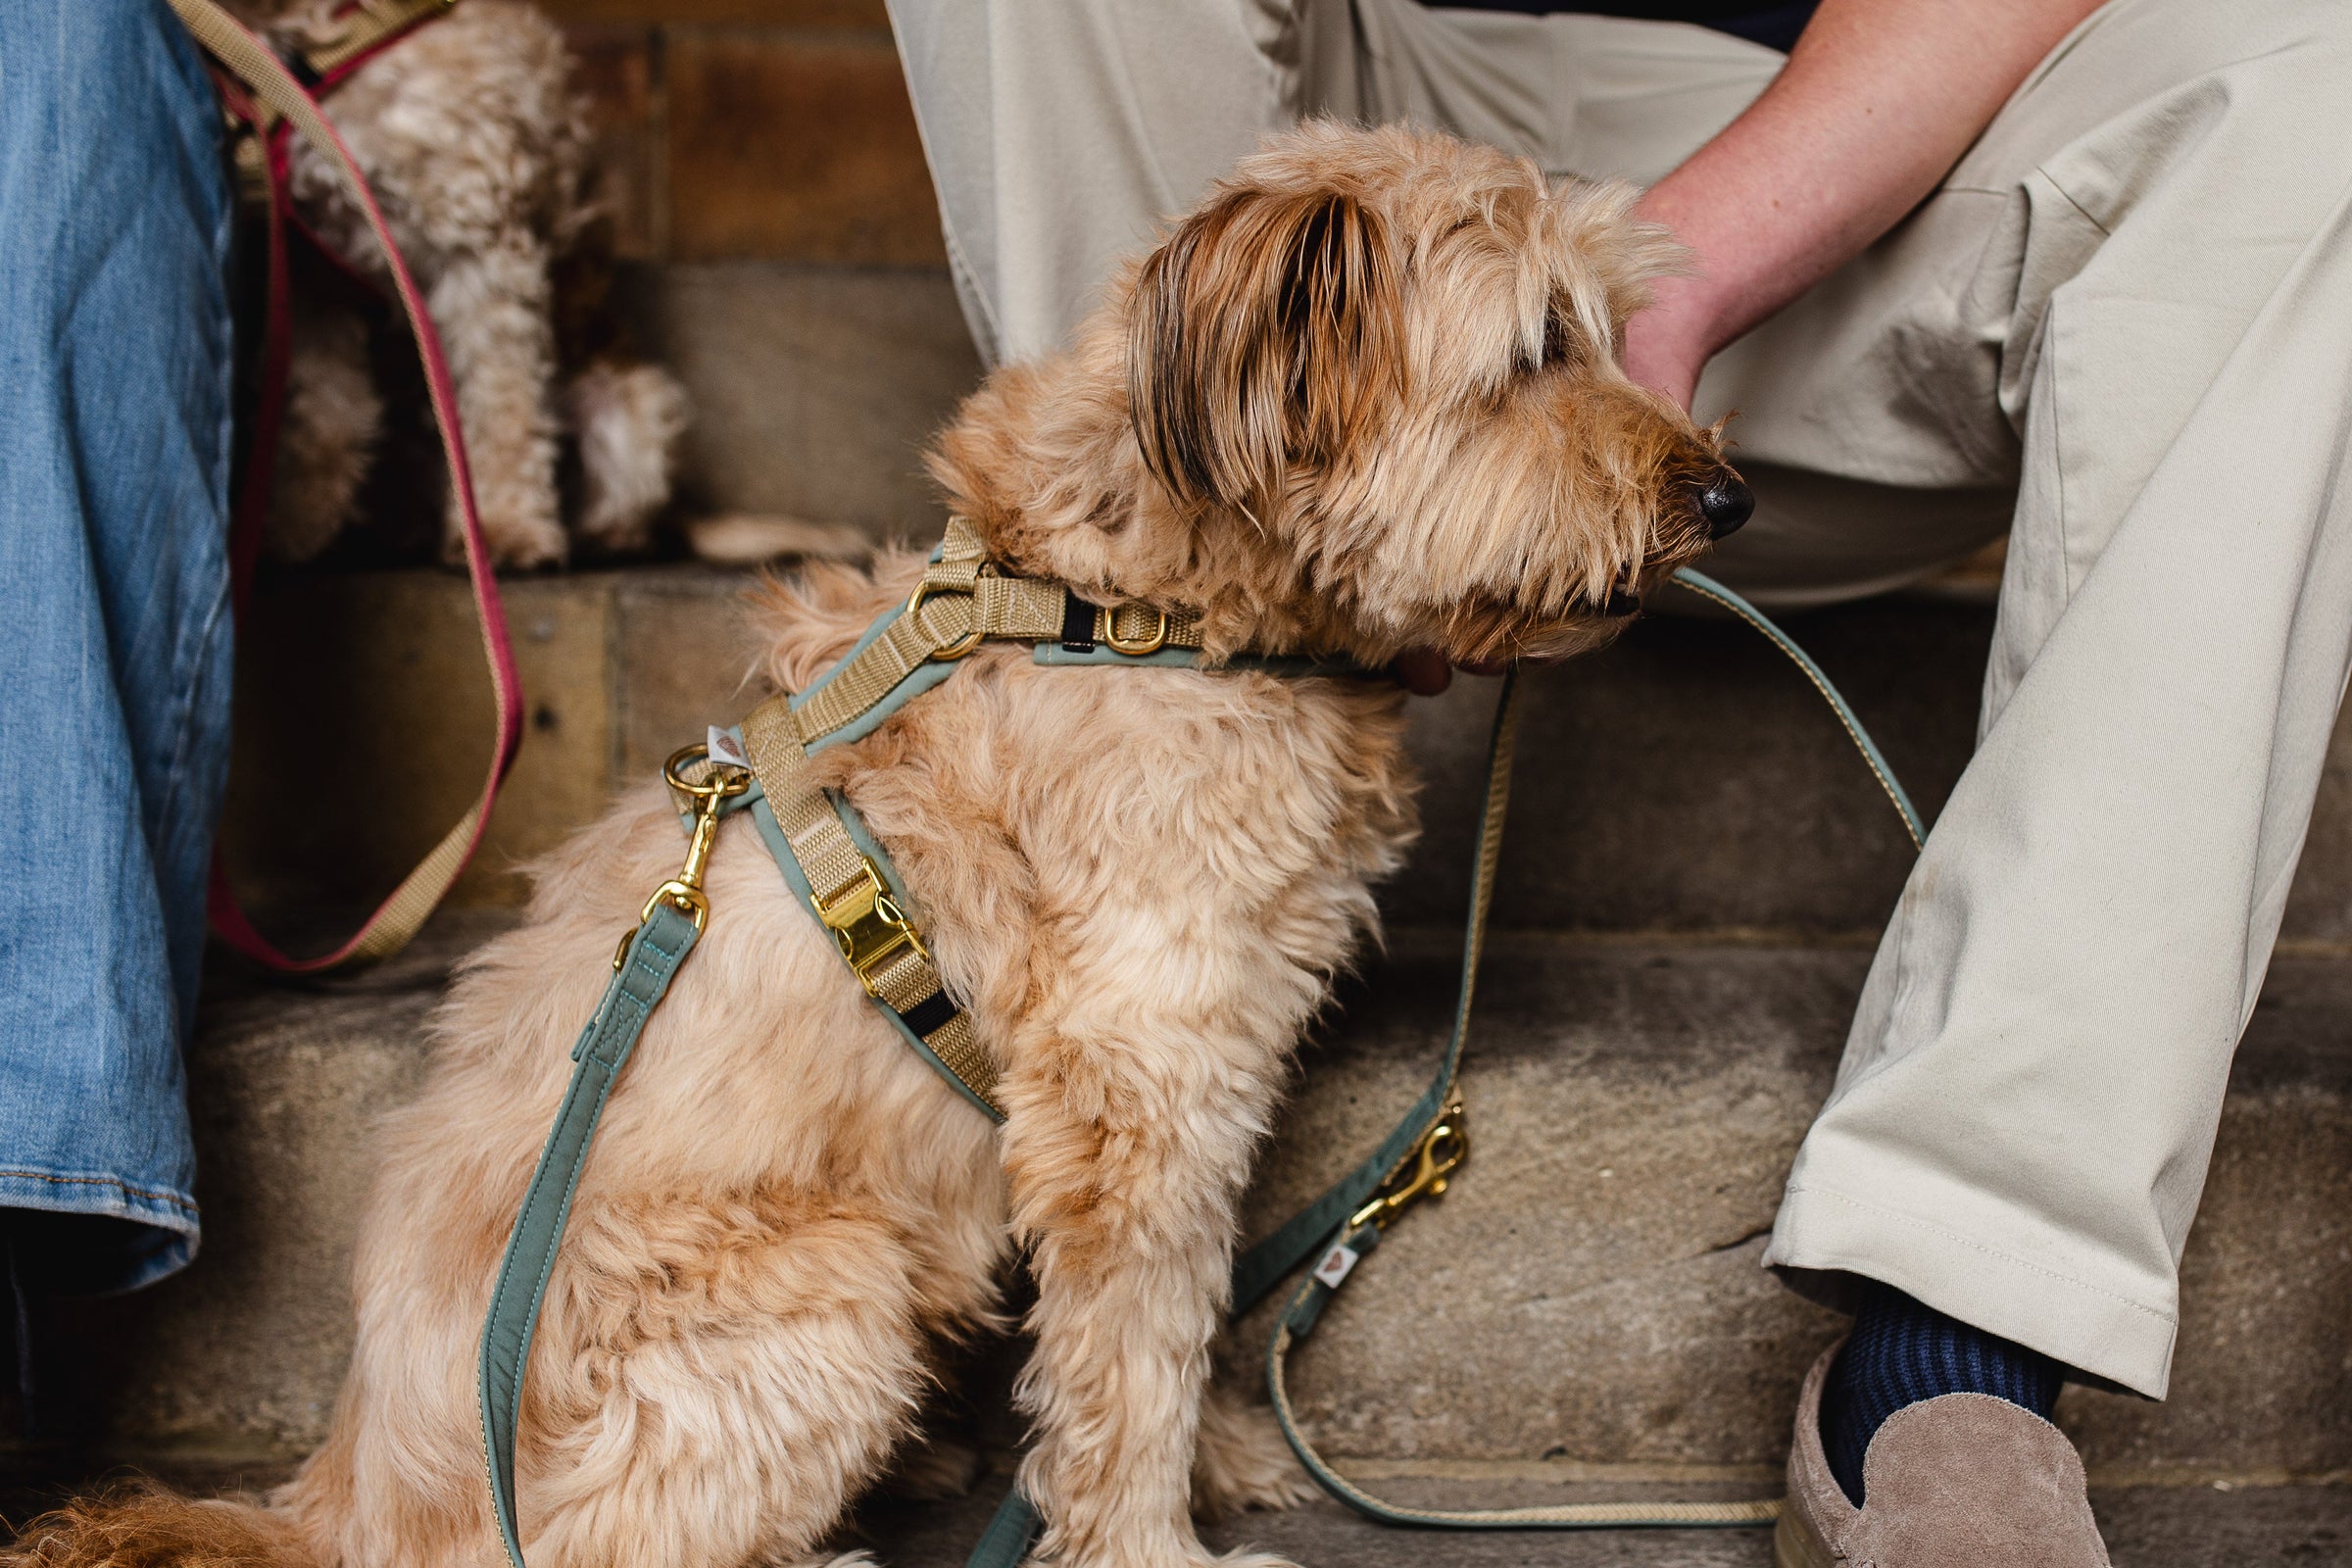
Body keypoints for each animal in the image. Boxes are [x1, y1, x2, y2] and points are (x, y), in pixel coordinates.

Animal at [10, 122, 1746, 1568]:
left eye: (1610, 331)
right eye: (1535, 351)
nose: (1726, 496)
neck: (1132, 612)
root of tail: (341, 1503)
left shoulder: (1198, 1071)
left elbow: (1175, 1324)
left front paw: (1217, 1458)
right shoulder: (1140, 1084)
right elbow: (1137, 1345)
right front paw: (1149, 1540)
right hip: (830, 1290)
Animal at [234, 0, 689, 568]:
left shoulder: (480, 245)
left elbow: (501, 403)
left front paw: (502, 526)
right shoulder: (315, 274)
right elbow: (321, 412)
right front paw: (294, 528)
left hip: (632, 416)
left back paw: (604, 537)